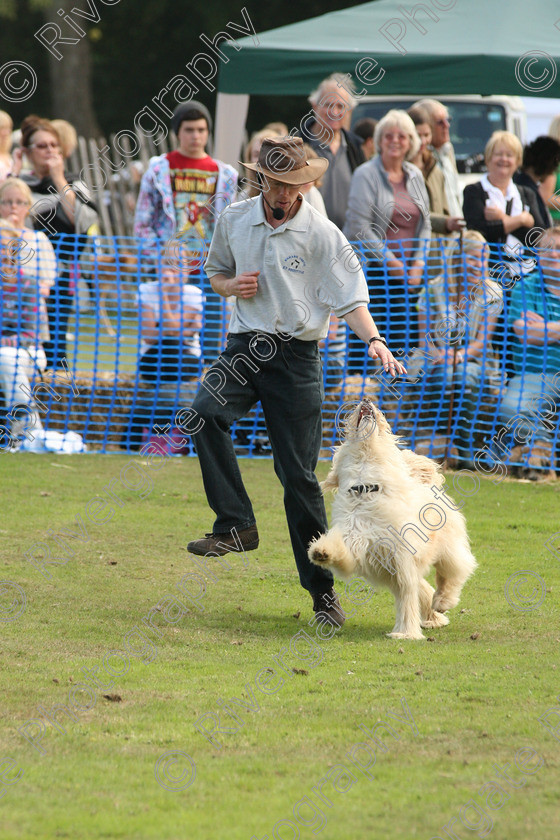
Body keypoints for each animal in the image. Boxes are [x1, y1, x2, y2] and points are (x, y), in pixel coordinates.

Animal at [308, 398, 474, 636]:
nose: (366, 400)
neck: (366, 487)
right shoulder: (355, 542)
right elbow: (340, 549)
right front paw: (321, 551)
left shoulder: (402, 556)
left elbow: (407, 595)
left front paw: (406, 633)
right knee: (425, 587)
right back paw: (434, 617)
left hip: (447, 547)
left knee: (454, 572)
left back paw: (443, 601)